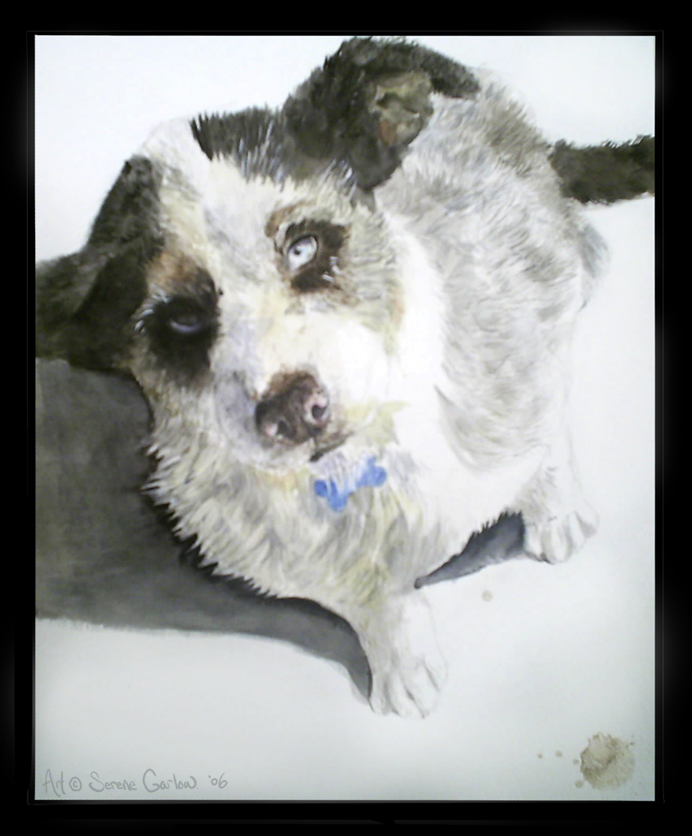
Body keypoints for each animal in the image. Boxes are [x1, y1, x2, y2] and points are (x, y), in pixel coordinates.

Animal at [35, 37, 654, 717]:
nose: (292, 409)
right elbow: (378, 602)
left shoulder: (531, 351)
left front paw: (558, 511)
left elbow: (547, 447)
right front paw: (403, 664)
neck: (363, 462)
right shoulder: (319, 569)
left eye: (303, 246)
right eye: (182, 321)